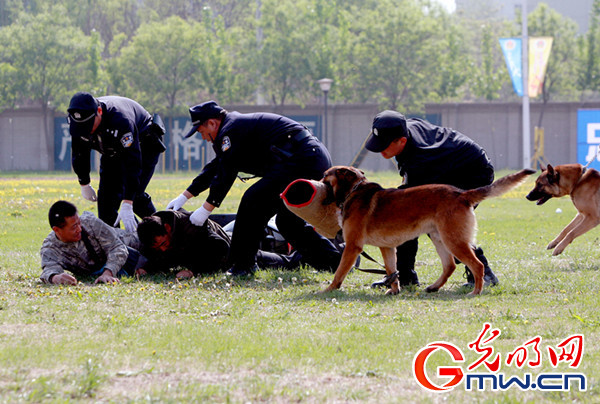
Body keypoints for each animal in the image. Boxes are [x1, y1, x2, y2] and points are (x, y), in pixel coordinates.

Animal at [324, 166, 536, 296]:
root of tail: (461, 194)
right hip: (439, 239)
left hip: (453, 241)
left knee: (477, 265)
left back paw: (476, 291)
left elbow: (340, 272)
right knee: (450, 265)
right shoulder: (387, 248)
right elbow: (392, 271)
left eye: (325, 177)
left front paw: (329, 289)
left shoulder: (352, 246)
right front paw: (394, 290)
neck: (354, 190)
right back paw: (434, 287)